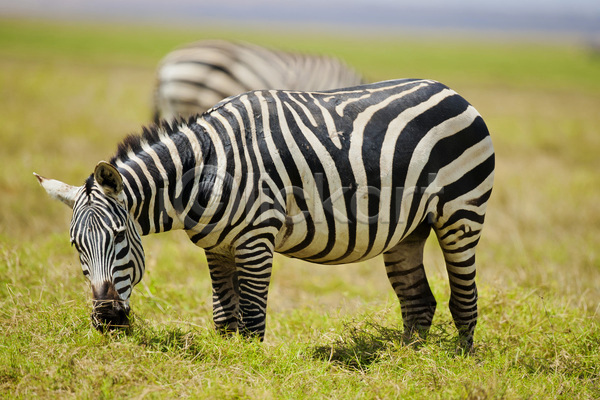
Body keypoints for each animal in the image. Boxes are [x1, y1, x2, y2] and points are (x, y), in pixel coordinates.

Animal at [38, 79, 496, 350]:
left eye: (118, 235)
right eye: (76, 246)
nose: (107, 320)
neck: (204, 170)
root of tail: (450, 90)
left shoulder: (256, 239)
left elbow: (254, 315)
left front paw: (251, 369)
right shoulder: (216, 247)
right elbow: (225, 315)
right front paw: (227, 363)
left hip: (461, 214)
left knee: (464, 297)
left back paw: (457, 361)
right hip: (407, 229)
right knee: (418, 302)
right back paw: (405, 361)